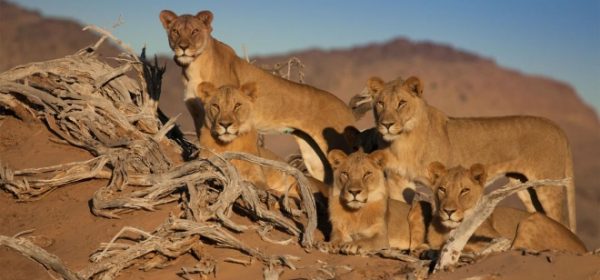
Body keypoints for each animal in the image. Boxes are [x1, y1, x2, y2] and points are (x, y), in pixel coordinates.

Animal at [197, 82, 328, 198]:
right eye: (216, 106)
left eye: (237, 106)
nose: (225, 124)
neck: (229, 145)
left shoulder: (257, 173)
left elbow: (262, 185)